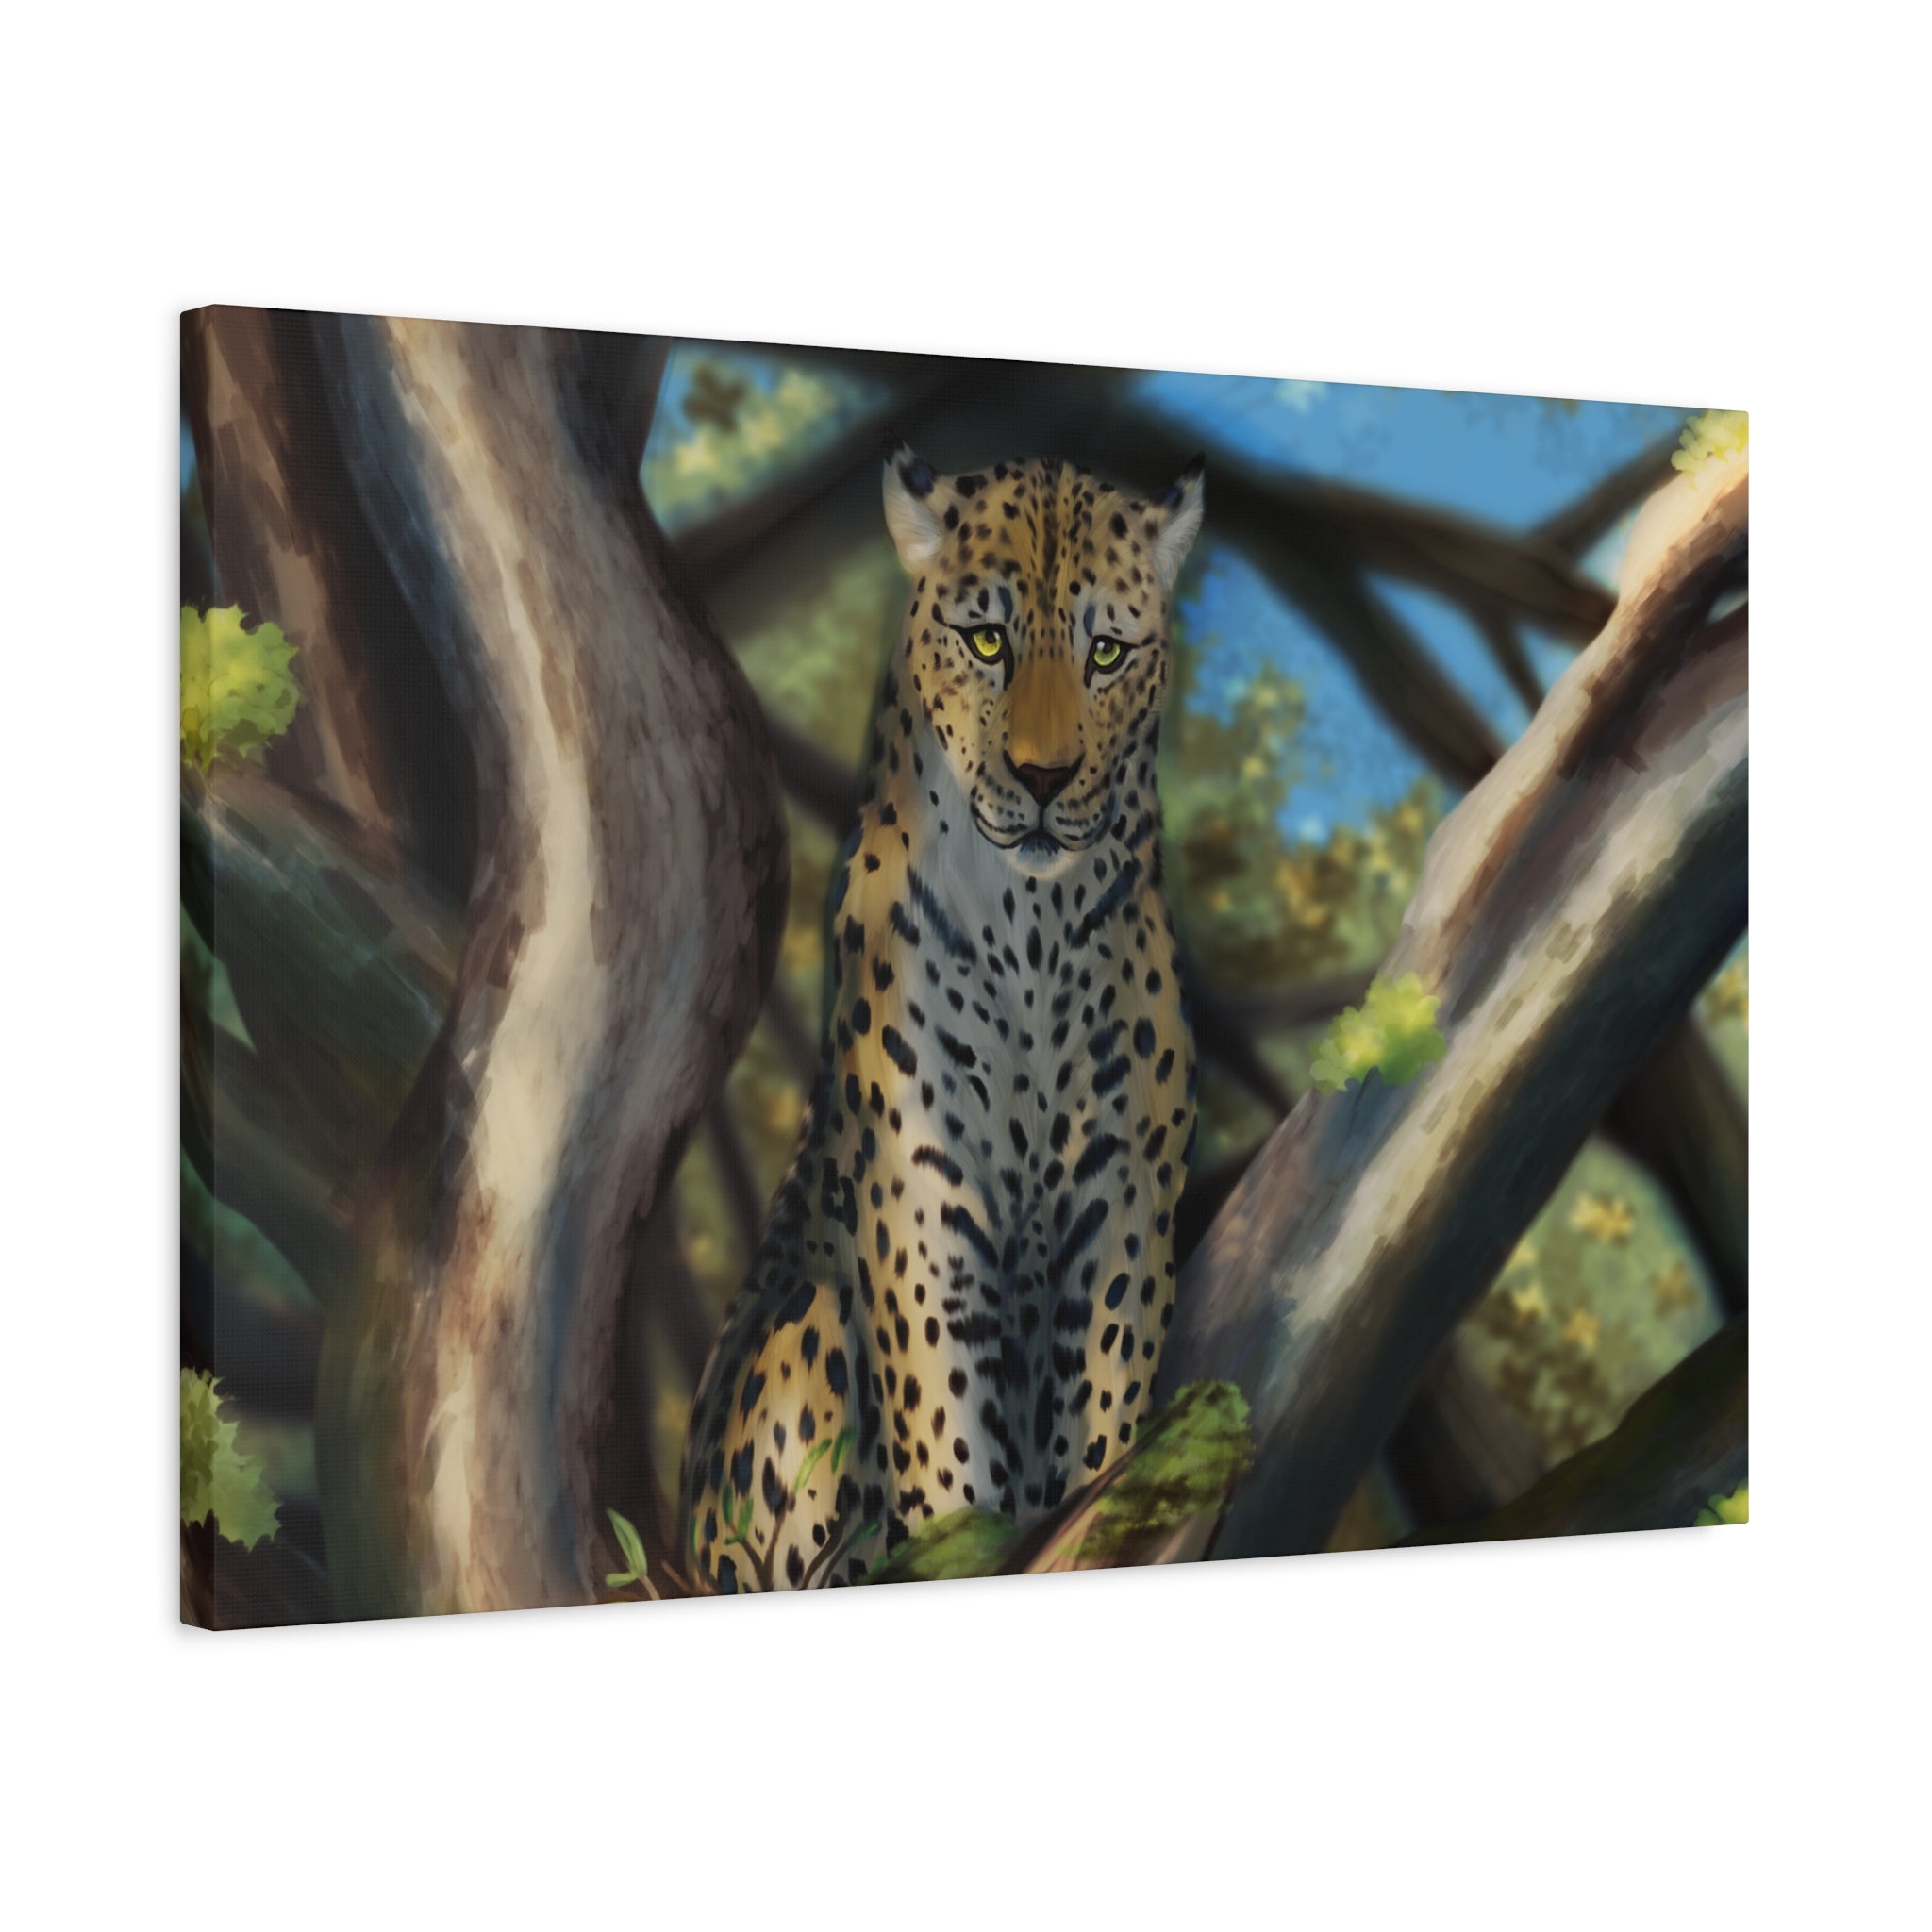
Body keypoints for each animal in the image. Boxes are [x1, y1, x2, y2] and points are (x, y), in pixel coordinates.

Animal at [678, 440, 1205, 1591]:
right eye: (986, 639)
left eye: (1106, 651)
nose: (1045, 778)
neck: (1032, 928)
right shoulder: (923, 1195)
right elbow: (947, 1432)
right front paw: (970, 1533)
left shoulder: (1122, 1195)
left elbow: (1101, 1411)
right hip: (802, 1333)